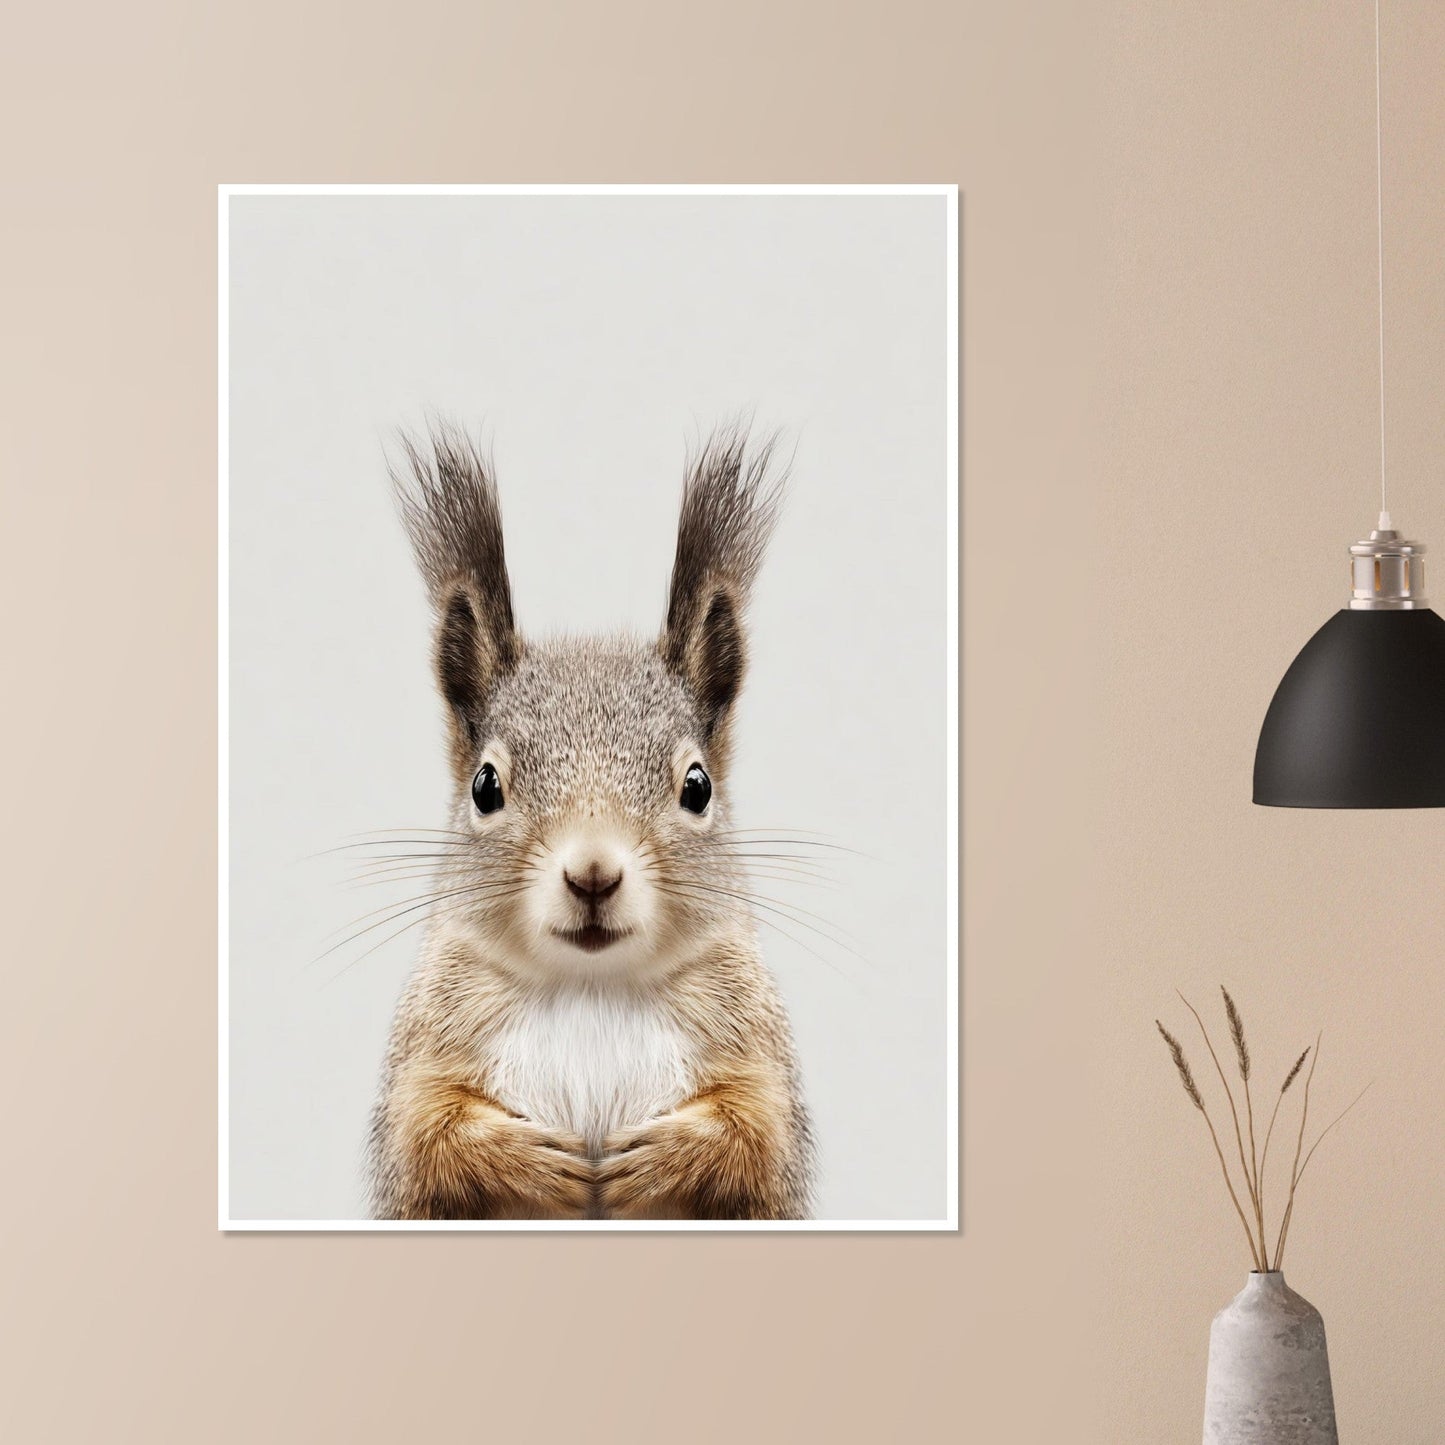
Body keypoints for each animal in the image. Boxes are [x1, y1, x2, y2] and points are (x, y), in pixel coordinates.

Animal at [366, 422, 815, 1220]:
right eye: (485, 786)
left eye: (696, 786)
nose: (593, 872)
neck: (591, 986)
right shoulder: (427, 1052)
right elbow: (425, 1137)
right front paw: (526, 1156)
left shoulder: (755, 1053)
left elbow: (756, 1136)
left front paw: (667, 1152)